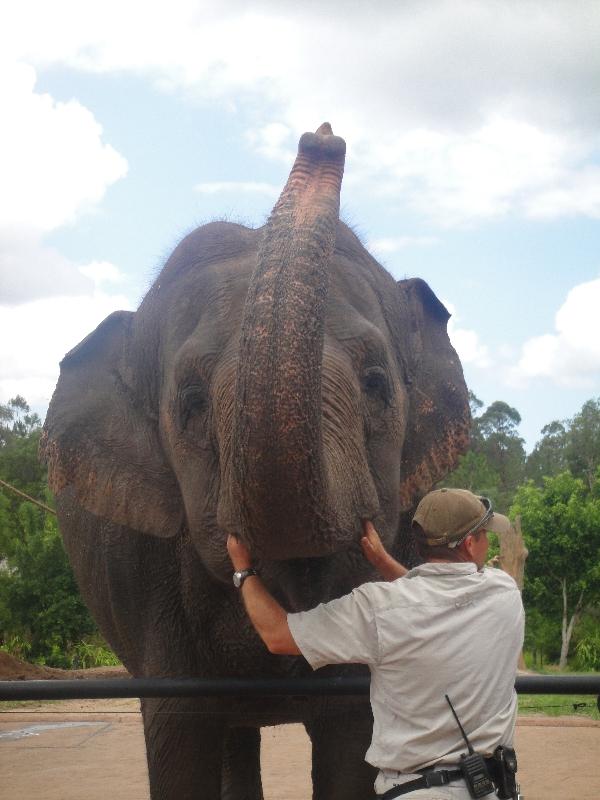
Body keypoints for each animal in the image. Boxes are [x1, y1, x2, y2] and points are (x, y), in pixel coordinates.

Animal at [42, 122, 472, 796]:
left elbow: (351, 741)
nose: (323, 136)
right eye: (191, 402)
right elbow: (180, 739)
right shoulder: (146, 586)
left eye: (377, 384)